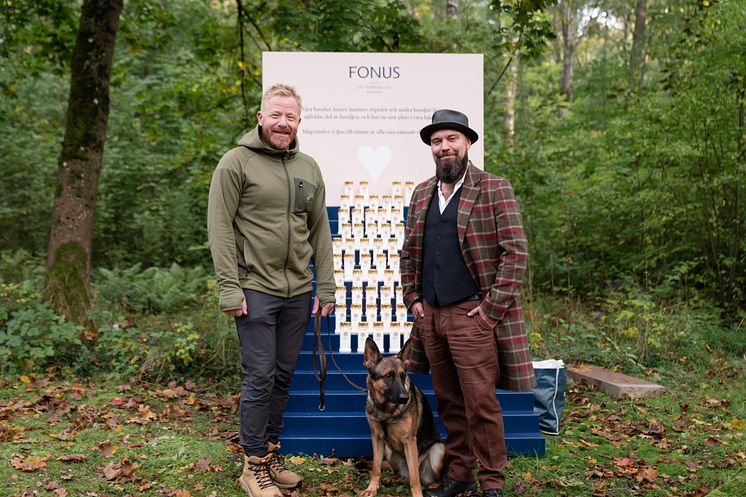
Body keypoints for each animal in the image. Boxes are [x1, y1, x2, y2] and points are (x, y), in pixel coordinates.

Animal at [362, 336, 444, 494]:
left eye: (403, 375)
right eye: (389, 375)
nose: (405, 398)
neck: (386, 410)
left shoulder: (409, 441)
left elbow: (415, 478)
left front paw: (417, 494)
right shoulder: (377, 438)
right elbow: (376, 467)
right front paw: (372, 488)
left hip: (438, 450)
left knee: (422, 476)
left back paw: (435, 485)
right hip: (388, 451)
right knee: (405, 476)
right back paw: (394, 479)